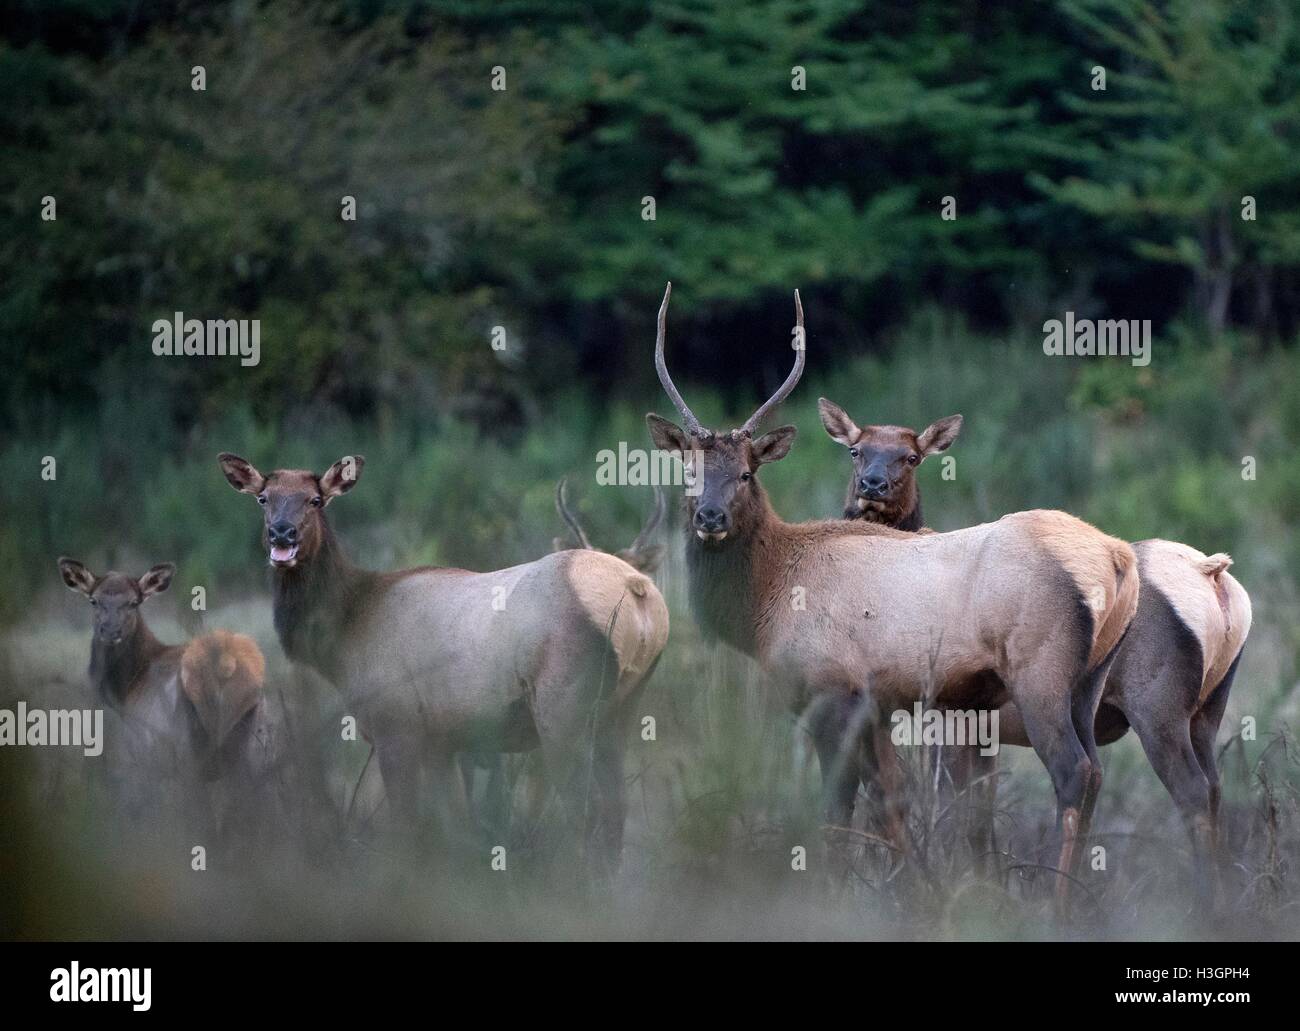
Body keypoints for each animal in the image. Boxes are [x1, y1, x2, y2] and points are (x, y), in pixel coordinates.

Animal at [647, 286, 1138, 894]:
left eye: (746, 473)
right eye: (688, 471)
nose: (710, 516)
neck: (765, 604)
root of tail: (1118, 559)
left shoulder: (831, 687)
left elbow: (837, 812)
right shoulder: (877, 704)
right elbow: (890, 802)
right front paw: (914, 888)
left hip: (1040, 670)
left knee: (1074, 772)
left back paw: (1055, 896)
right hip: (1088, 682)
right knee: (1094, 773)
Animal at [816, 395, 1253, 884]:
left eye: (911, 457)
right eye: (855, 450)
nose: (871, 486)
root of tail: (1214, 573)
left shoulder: (945, 714)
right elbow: (976, 813)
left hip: (1156, 706)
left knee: (1189, 792)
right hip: (1208, 710)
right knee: (1215, 790)